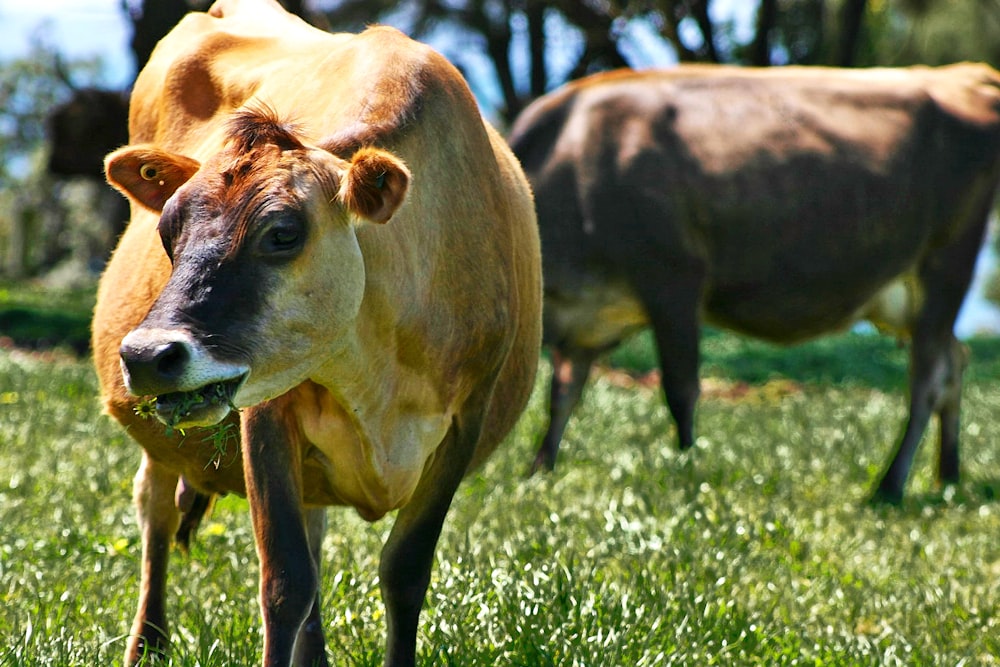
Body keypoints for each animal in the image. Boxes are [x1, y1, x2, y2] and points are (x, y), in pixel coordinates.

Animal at [94, 1, 544, 667]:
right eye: (168, 231)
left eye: (283, 233)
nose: (148, 355)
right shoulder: (265, 412)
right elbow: (286, 582)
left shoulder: (467, 417)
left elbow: (404, 572)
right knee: (155, 511)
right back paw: (147, 643)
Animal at [508, 64, 1000, 506]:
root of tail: (962, 74)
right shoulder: (584, 322)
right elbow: (563, 394)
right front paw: (538, 471)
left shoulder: (673, 280)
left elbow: (680, 389)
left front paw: (688, 471)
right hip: (903, 297)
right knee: (954, 362)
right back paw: (947, 476)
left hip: (944, 264)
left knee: (928, 378)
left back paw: (890, 486)